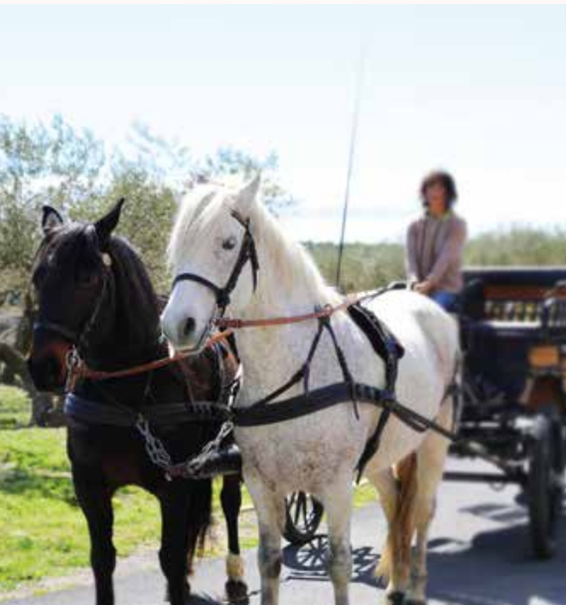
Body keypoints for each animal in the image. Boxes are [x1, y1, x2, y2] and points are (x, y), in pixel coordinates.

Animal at [27, 202, 247, 604]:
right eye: (38, 277)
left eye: (87, 278)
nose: (43, 367)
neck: (128, 388)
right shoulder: (89, 485)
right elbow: (102, 559)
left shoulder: (174, 487)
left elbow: (170, 558)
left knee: (231, 503)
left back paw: (235, 575)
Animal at [161, 176, 462, 604]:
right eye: (179, 246)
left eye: (228, 243)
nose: (177, 326)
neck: (292, 367)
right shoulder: (261, 484)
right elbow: (269, 562)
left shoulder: (336, 486)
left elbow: (338, 564)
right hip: (381, 455)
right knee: (393, 502)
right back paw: (397, 584)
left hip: (434, 441)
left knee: (421, 510)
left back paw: (416, 584)